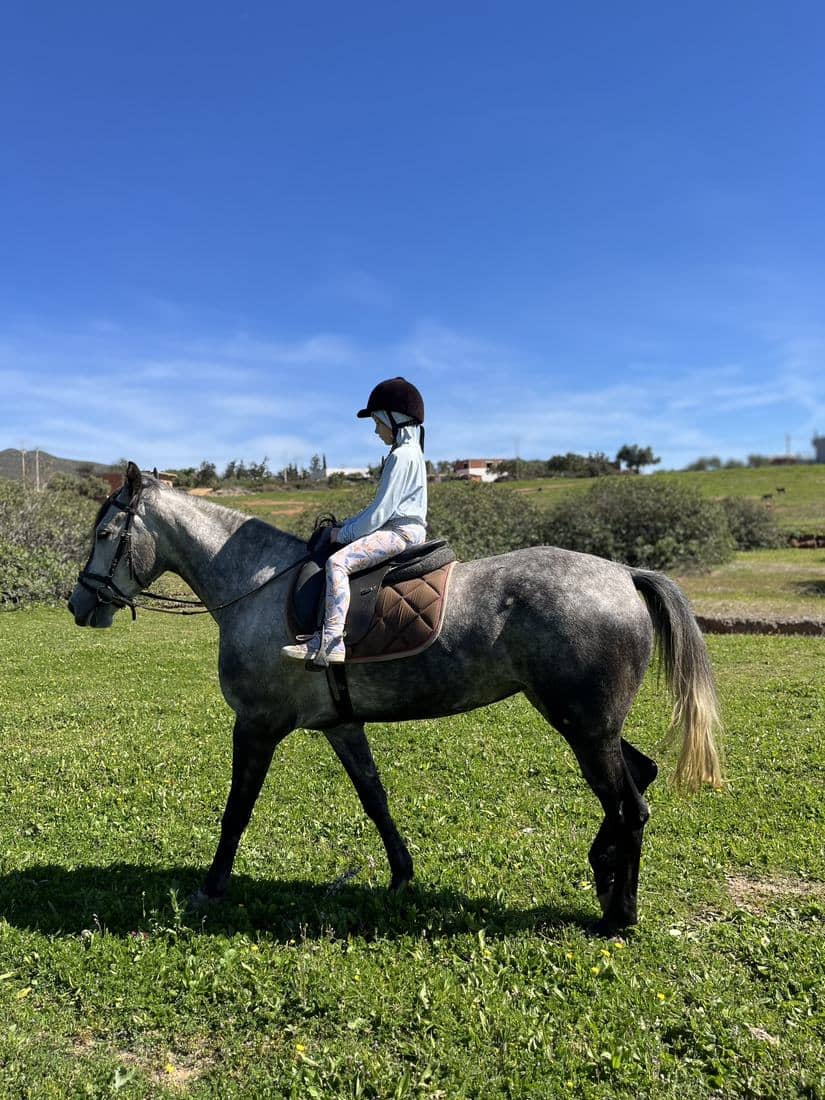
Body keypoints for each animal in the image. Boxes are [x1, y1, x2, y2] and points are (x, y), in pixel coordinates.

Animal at [68, 463, 722, 934]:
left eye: (105, 534)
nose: (79, 604)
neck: (258, 588)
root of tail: (624, 574)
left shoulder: (256, 724)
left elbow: (237, 810)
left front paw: (211, 887)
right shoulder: (340, 725)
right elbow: (375, 799)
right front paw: (402, 877)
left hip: (584, 726)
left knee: (630, 806)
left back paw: (619, 913)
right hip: (588, 723)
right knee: (639, 779)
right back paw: (604, 873)